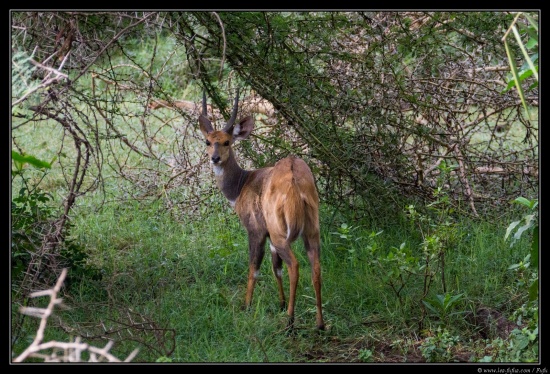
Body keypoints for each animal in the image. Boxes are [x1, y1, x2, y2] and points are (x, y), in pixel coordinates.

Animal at [201, 90, 326, 330]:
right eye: (208, 141)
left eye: (227, 142)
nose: (215, 158)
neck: (241, 185)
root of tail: (295, 182)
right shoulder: (269, 237)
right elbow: (275, 268)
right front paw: (280, 303)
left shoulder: (256, 230)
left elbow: (254, 268)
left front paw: (246, 306)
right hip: (311, 230)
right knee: (315, 266)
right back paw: (320, 324)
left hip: (281, 233)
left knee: (295, 265)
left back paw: (290, 321)